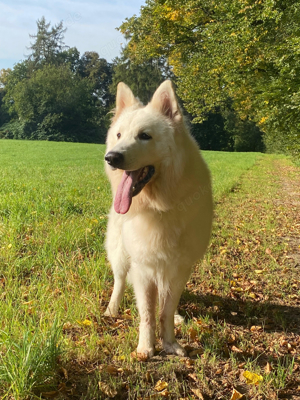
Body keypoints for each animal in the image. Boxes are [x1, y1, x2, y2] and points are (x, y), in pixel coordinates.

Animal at [104, 79, 212, 358]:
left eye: (145, 136)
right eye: (119, 135)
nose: (112, 157)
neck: (160, 205)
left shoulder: (179, 268)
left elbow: (165, 310)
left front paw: (170, 343)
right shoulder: (143, 269)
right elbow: (147, 314)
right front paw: (146, 347)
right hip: (121, 254)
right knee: (119, 281)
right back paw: (111, 309)